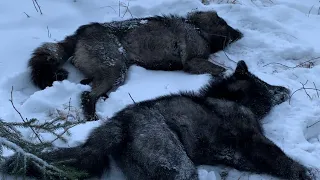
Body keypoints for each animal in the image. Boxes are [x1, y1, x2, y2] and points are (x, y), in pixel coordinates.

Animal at [1, 60, 316, 180]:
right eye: (266, 84)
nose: (286, 89)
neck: (231, 99)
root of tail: (118, 123)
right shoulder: (253, 142)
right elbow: (285, 162)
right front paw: (308, 173)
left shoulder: (241, 155)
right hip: (177, 164)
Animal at [28, 10, 242, 121]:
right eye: (224, 24)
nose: (239, 33)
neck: (196, 27)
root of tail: (82, 32)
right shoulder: (192, 61)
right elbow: (219, 68)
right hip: (115, 69)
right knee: (88, 95)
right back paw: (93, 117)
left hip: (110, 72)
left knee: (89, 86)